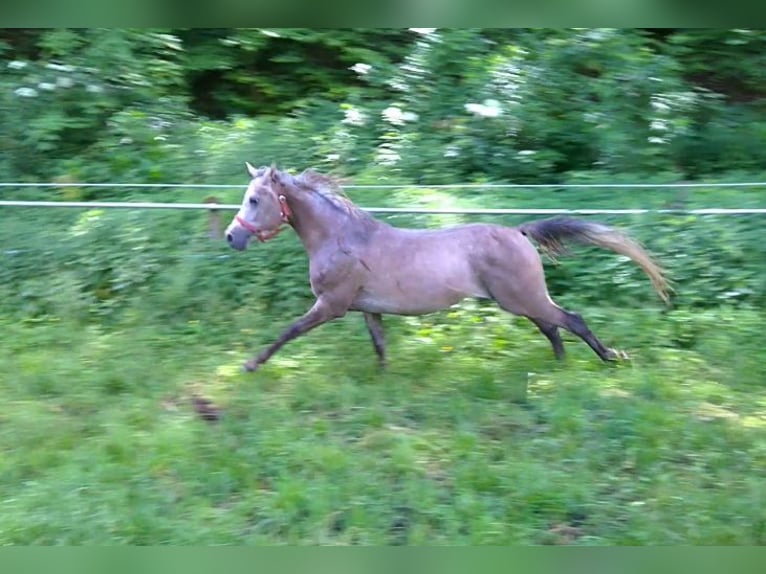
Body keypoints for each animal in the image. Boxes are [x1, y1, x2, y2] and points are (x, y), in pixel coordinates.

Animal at [225, 165, 668, 374]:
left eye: (254, 199)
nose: (232, 237)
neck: (342, 238)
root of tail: (518, 232)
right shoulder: (368, 308)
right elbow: (380, 345)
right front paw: (384, 380)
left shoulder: (331, 304)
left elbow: (289, 331)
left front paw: (251, 365)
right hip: (521, 301)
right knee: (552, 327)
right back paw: (559, 368)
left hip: (521, 298)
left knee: (570, 320)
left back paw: (609, 359)